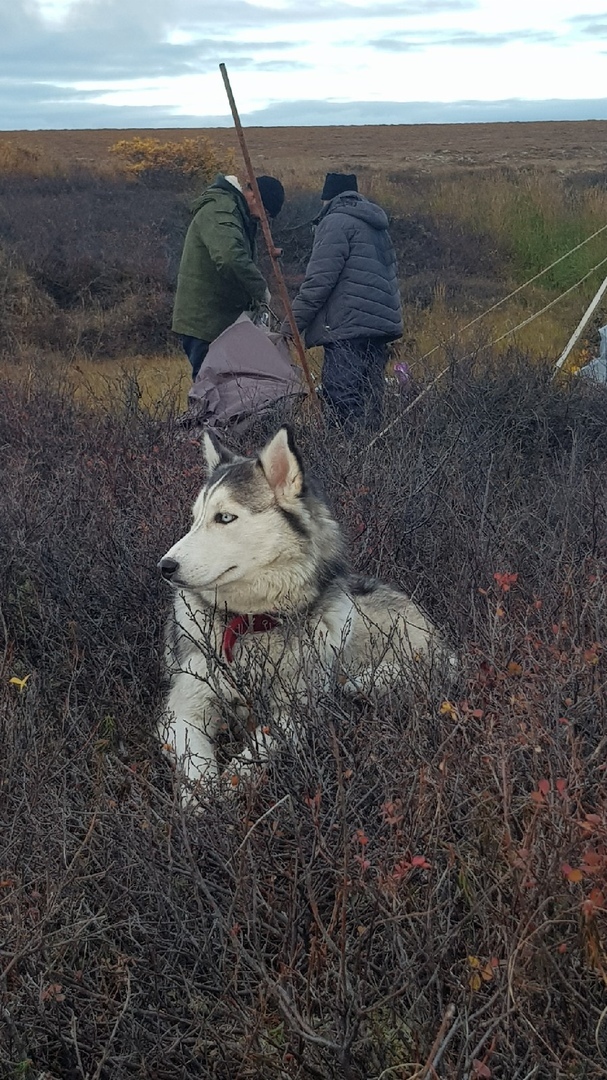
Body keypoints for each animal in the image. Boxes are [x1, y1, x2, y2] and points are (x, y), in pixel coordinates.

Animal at [158, 425, 451, 790]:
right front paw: (205, 798)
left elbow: (257, 751)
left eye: (224, 517)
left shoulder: (298, 712)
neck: (253, 622)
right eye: (195, 519)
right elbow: (196, 766)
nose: (165, 567)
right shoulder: (182, 710)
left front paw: (231, 785)